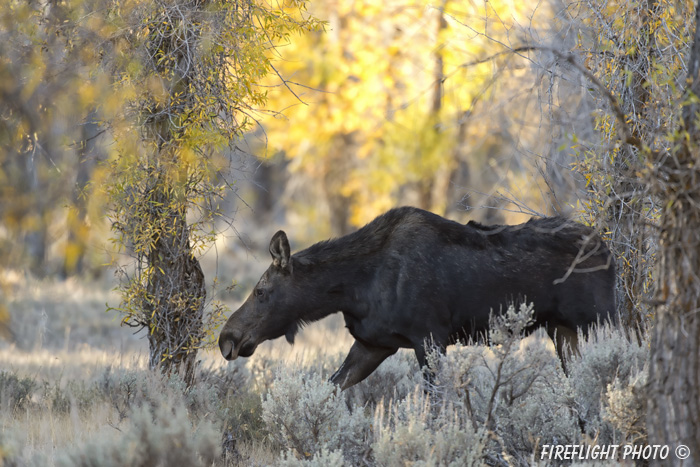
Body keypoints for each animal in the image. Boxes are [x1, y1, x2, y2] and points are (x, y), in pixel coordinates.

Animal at [217, 208, 612, 392]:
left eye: (261, 292)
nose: (227, 339)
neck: (353, 289)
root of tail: (609, 250)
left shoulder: (430, 338)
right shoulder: (373, 343)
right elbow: (330, 389)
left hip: (602, 320)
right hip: (562, 330)